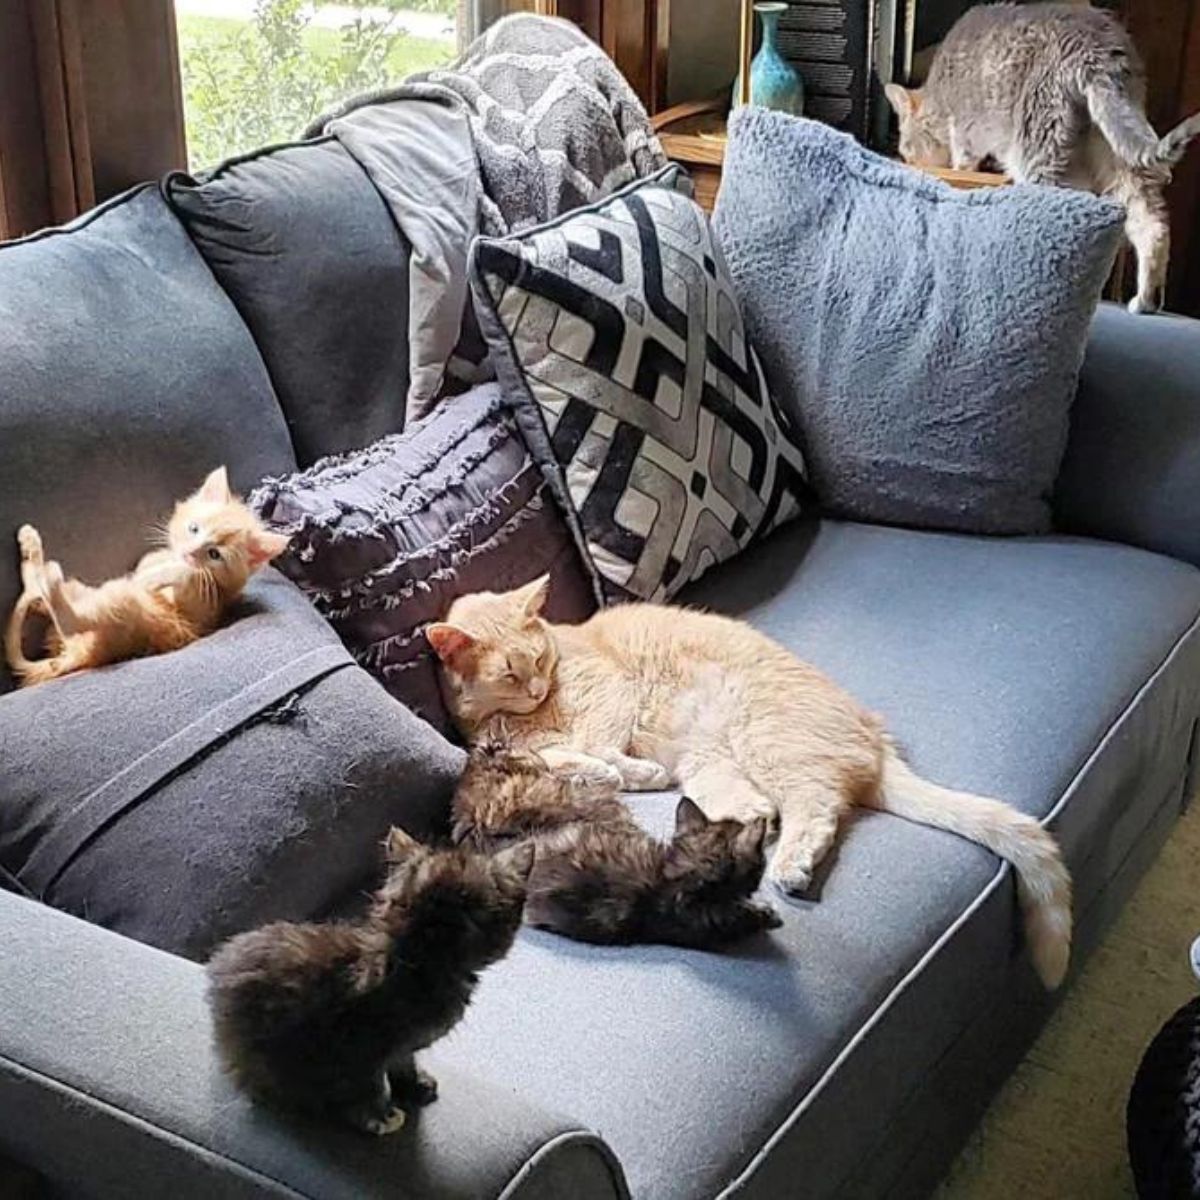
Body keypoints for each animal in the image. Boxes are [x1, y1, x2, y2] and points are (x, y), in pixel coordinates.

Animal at [4, 470, 290, 696]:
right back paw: (31, 553)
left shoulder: (202, 610)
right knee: (39, 591)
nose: (189, 552)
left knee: (72, 621)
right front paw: (153, 569)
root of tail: (82, 655)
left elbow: (185, 579)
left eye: (214, 554)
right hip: (83, 593)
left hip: (128, 611)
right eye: (194, 529)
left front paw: (163, 575)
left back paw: (49, 576)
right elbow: (147, 564)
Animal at [204, 830, 532, 1137]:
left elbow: (403, 1060)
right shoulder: (356, 1045)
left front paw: (414, 1086)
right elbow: (366, 1084)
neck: (420, 963)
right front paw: (381, 1117)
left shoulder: (399, 1046)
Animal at [883, 3, 1200, 314]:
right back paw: (1145, 301)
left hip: (1040, 151)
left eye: (906, 151)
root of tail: (1096, 48)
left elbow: (963, 161)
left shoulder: (965, 132)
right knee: (1153, 225)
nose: (907, 162)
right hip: (1119, 158)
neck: (941, 94)